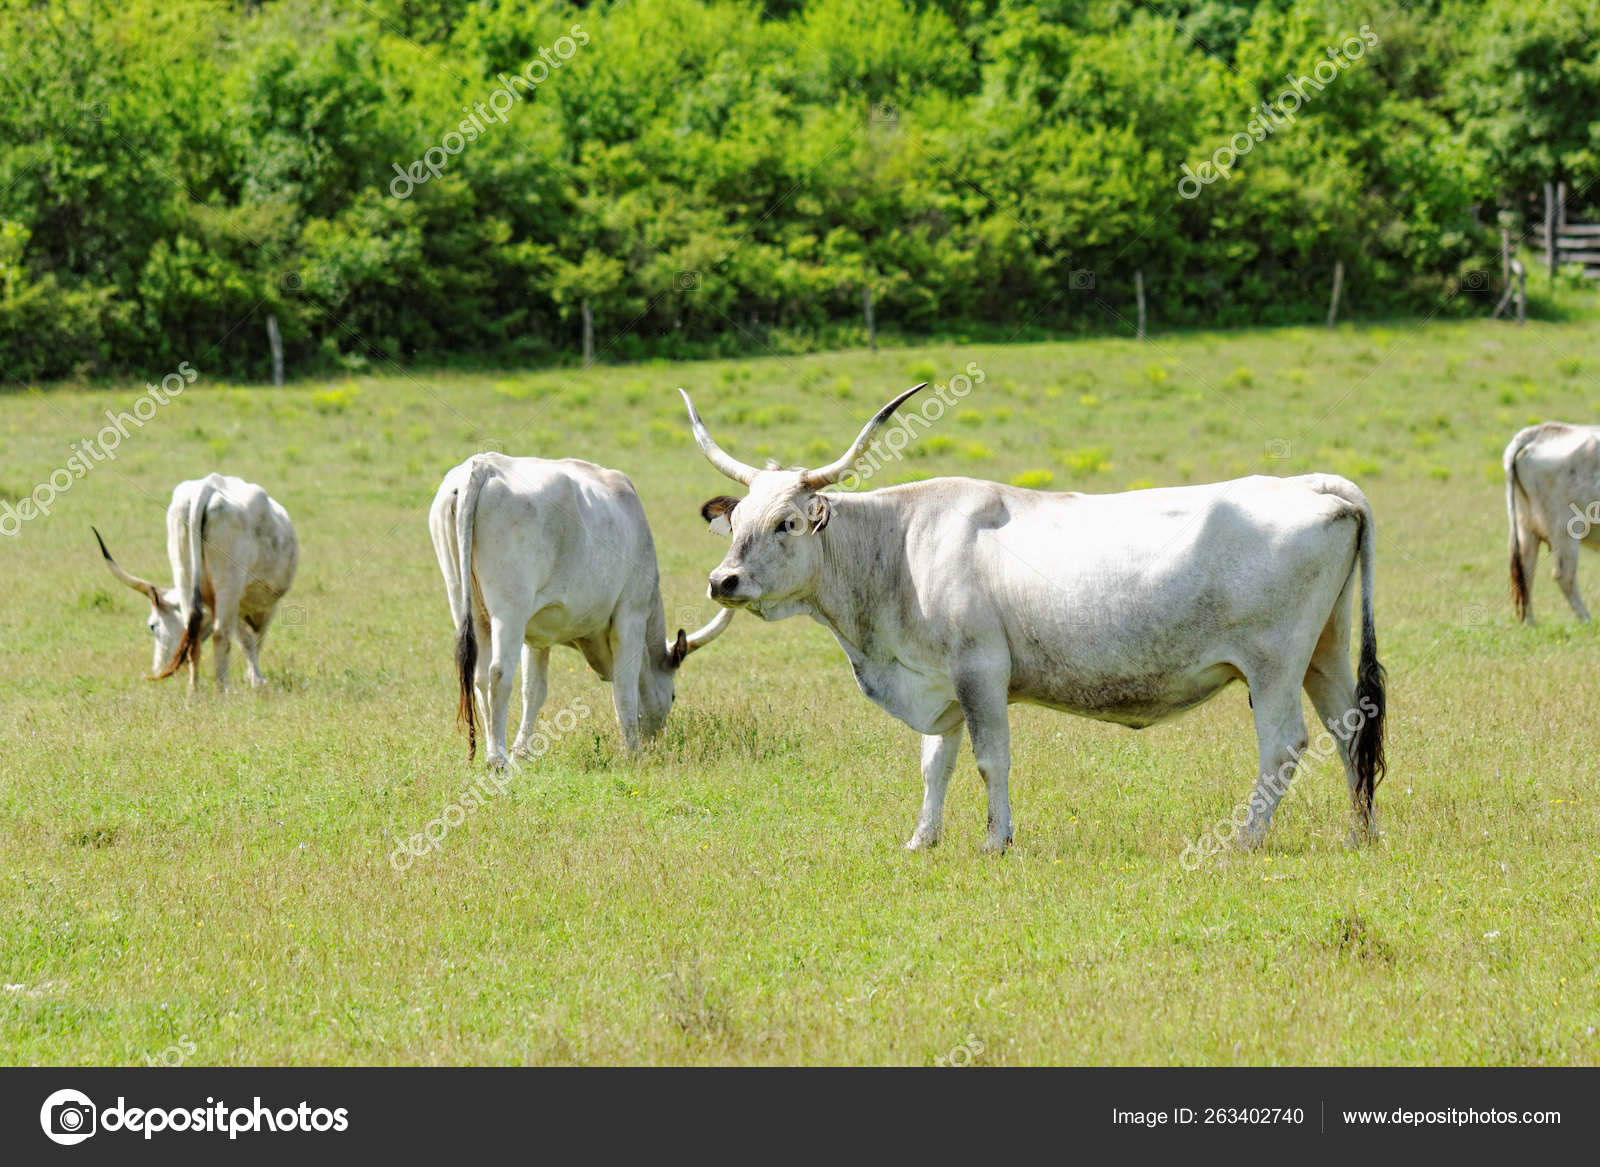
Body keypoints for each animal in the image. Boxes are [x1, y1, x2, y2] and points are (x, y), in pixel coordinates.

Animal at [93, 473, 298, 691]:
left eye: (152, 626)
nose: (157, 668)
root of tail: (207, 485)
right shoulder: (259, 606)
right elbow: (252, 640)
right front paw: (256, 679)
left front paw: (254, 678)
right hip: (228, 584)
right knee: (221, 635)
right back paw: (221, 691)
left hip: (184, 572)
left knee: (195, 632)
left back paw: (194, 692)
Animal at [428, 452, 733, 769]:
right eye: (672, 696)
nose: (655, 741)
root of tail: (482, 466)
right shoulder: (630, 617)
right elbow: (625, 690)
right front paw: (632, 750)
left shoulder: (537, 636)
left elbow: (534, 691)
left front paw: (522, 751)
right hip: (509, 609)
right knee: (498, 674)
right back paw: (497, 760)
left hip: (466, 604)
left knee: (479, 678)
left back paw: (493, 752)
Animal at [681, 384, 1387, 854]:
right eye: (737, 523)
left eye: (786, 523)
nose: (722, 581)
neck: (900, 547)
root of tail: (1313, 484)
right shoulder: (938, 682)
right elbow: (935, 763)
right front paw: (921, 840)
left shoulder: (980, 673)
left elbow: (990, 758)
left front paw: (996, 841)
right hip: (1324, 652)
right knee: (1349, 730)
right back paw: (1361, 833)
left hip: (1273, 665)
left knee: (1284, 743)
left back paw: (1246, 838)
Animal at [1504, 421, 1600, 623]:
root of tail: (1540, 431)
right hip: (1565, 530)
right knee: (1564, 576)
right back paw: (1587, 621)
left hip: (1525, 528)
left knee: (1525, 572)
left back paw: (1530, 623)